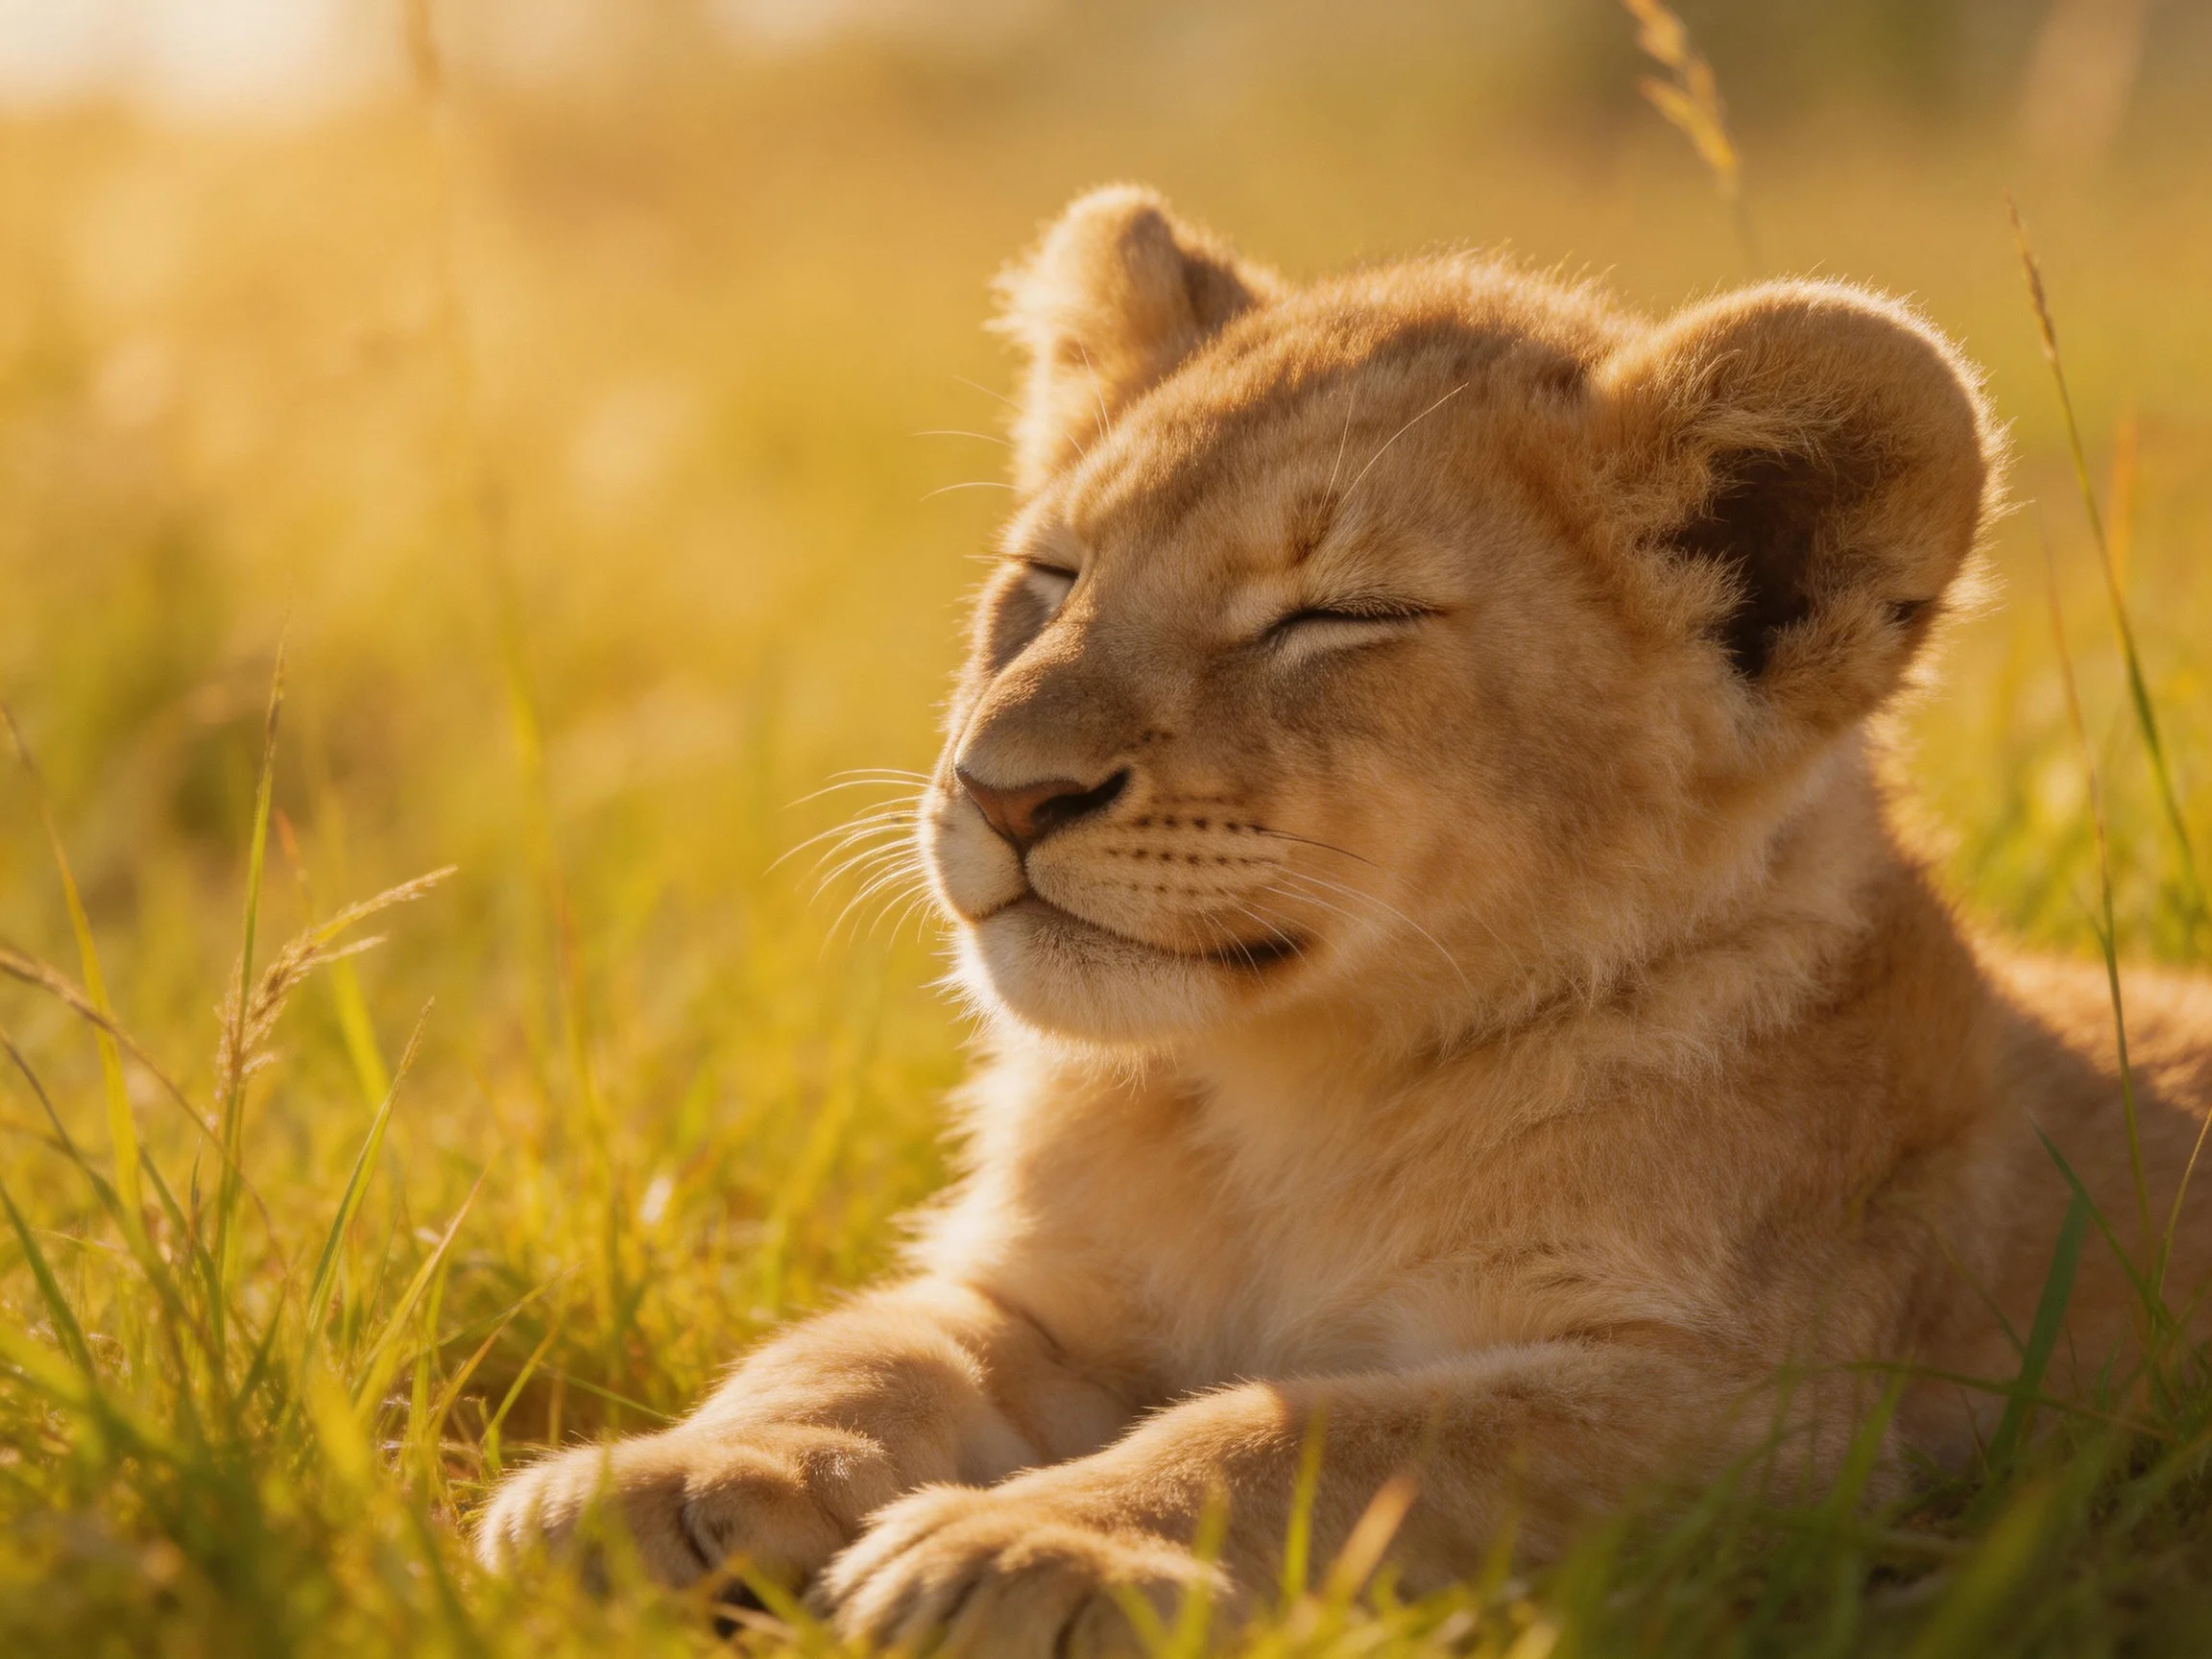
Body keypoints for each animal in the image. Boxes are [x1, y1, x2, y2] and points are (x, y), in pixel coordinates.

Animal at [476, 185, 2212, 1650]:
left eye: (1336, 615)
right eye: (1050, 574)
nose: (1001, 789)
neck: (1289, 1095)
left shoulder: (1765, 1419)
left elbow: (1317, 1424)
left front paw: (1027, 1546)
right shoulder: (1047, 1292)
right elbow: (859, 1345)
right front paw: (665, 1481)